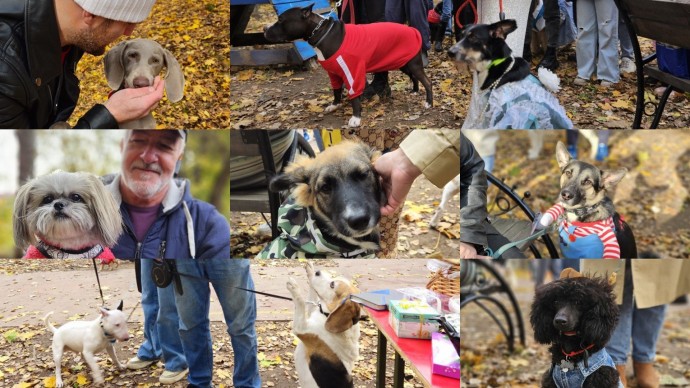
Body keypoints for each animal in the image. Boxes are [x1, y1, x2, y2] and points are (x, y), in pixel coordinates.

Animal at [284, 260, 362, 388]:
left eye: (332, 285)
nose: (318, 272)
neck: (326, 316)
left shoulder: (301, 327)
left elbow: (301, 301)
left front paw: (294, 287)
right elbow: (312, 295)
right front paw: (310, 271)